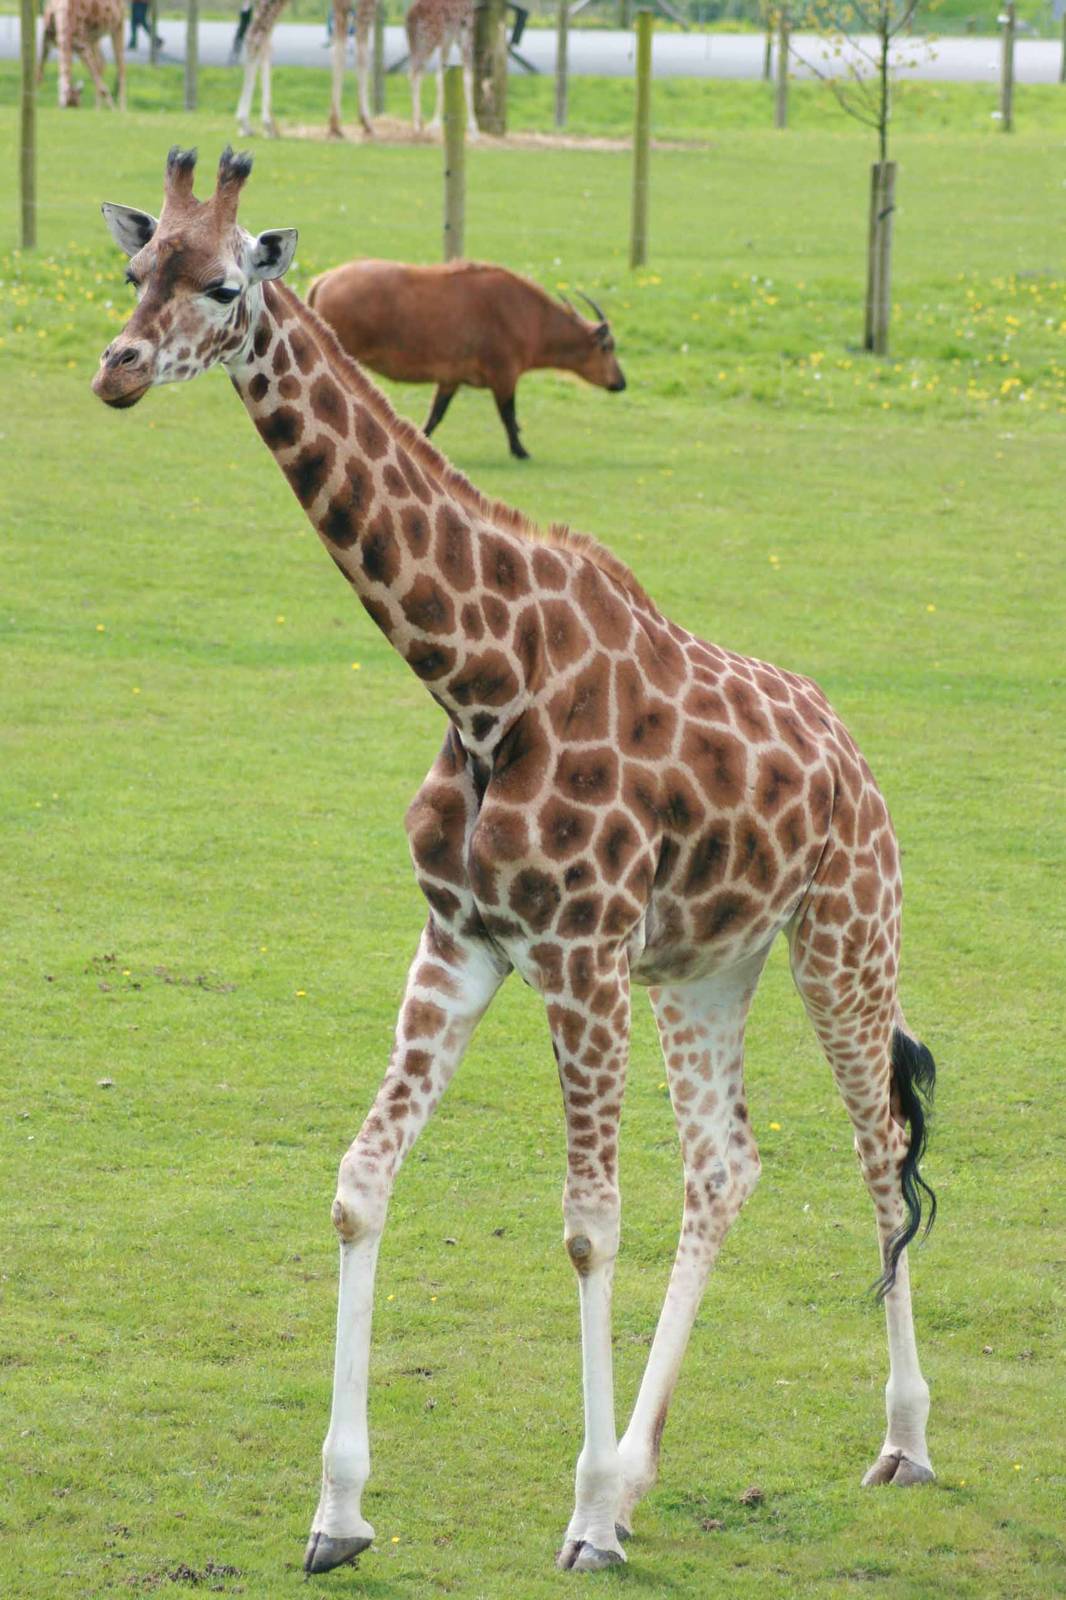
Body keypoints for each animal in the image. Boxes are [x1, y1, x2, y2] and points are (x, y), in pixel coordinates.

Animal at [92, 147, 938, 1577]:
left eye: (222, 284)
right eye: (137, 266)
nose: (118, 367)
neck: (483, 682)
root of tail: (852, 757)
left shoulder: (577, 950)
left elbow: (588, 1224)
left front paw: (584, 1515)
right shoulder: (463, 940)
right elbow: (359, 1184)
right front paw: (339, 1511)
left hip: (841, 938)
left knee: (878, 1146)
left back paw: (901, 1440)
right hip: (703, 970)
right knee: (725, 1165)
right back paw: (647, 1468)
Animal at [236, 0, 378, 140]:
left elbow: (340, 44)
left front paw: (334, 125)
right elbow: (360, 50)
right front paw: (366, 123)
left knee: (265, 37)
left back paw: (269, 126)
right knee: (255, 35)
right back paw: (254, 123)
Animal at [406, 0, 479, 139]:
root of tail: (412, 15)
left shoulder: (451, 38)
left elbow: (444, 75)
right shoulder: (463, 36)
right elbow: (466, 79)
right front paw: (473, 128)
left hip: (416, 43)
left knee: (416, 73)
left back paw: (418, 123)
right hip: (430, 41)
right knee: (416, 73)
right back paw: (418, 125)